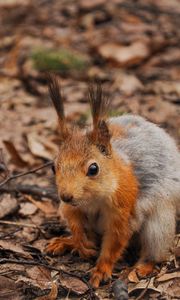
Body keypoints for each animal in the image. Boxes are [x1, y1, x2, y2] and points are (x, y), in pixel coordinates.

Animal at [45, 74, 180, 288]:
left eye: (93, 169)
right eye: (53, 166)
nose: (65, 196)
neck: (92, 198)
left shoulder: (124, 209)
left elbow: (115, 242)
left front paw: (101, 269)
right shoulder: (70, 207)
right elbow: (74, 221)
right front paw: (79, 243)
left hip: (159, 223)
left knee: (155, 252)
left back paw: (141, 267)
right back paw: (67, 242)